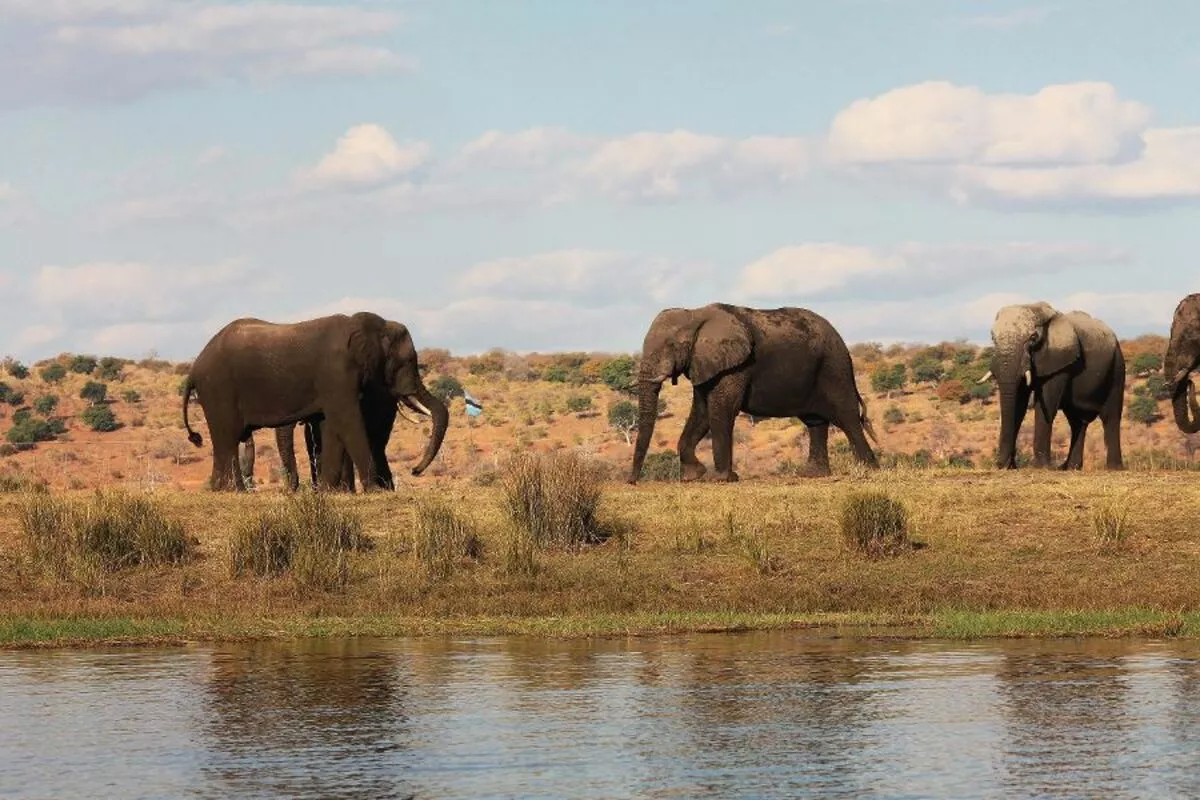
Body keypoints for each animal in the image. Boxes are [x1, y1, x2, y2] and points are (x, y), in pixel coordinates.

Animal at [182, 309, 451, 491]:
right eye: (407, 362)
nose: (415, 471)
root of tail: (195, 367)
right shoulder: (337, 372)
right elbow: (348, 421)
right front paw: (373, 491)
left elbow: (329, 425)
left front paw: (329, 492)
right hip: (218, 387)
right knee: (227, 436)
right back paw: (233, 490)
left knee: (224, 439)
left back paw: (223, 489)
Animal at [628, 302, 883, 482]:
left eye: (672, 346)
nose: (632, 482)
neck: (695, 314)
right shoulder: (705, 363)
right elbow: (701, 411)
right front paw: (694, 476)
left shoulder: (736, 365)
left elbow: (721, 409)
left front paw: (721, 479)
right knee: (816, 422)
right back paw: (813, 475)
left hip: (834, 366)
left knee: (847, 418)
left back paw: (869, 470)